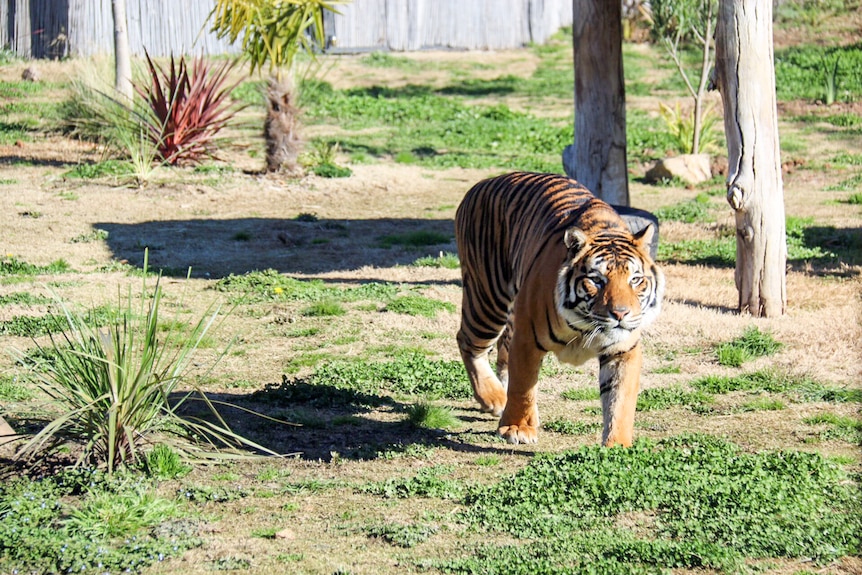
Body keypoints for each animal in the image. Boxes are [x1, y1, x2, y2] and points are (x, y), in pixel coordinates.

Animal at [456, 171, 664, 450]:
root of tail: (481, 184)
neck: (586, 325)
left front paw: (617, 446)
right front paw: (517, 428)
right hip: (487, 299)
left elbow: (620, 400)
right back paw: (494, 398)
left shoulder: (624, 349)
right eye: (597, 280)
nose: (621, 314)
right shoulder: (527, 338)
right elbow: (524, 385)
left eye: (635, 280)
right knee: (468, 342)